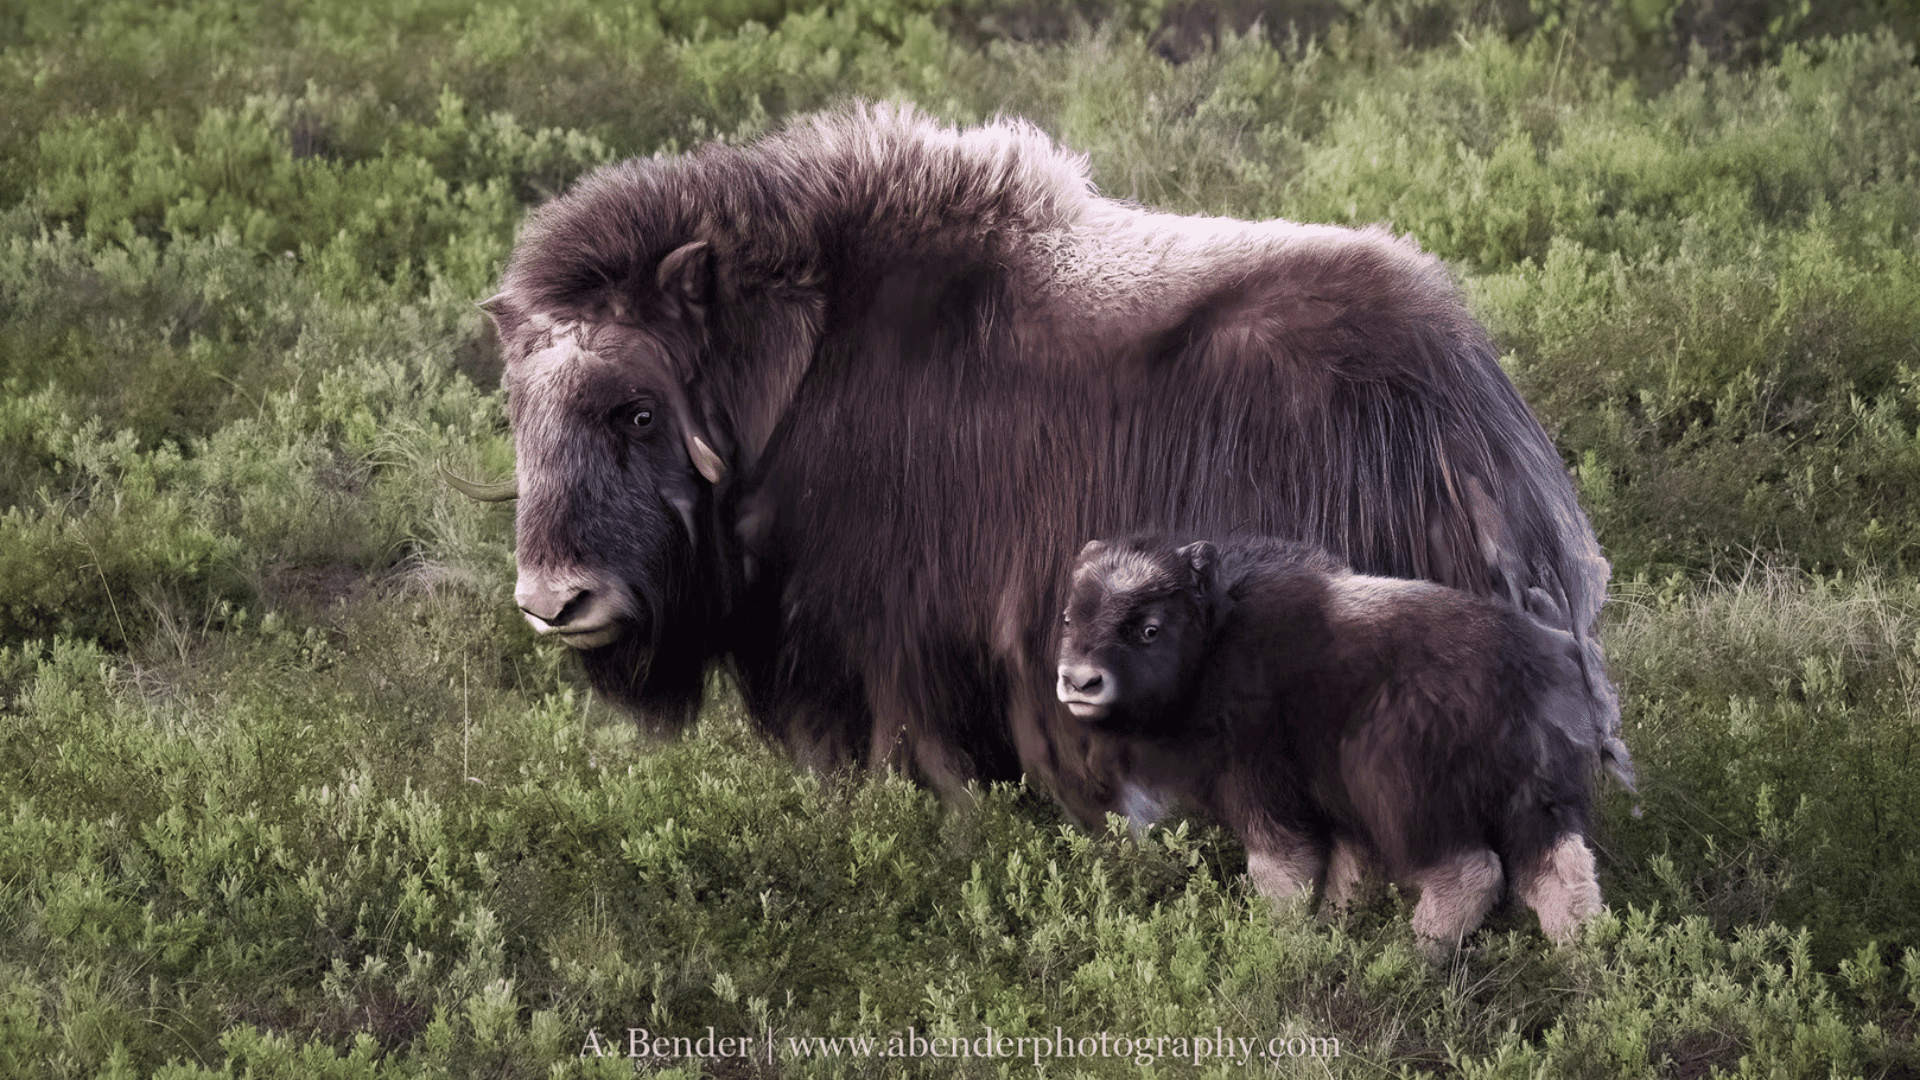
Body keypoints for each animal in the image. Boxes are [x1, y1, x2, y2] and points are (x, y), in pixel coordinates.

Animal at [472, 103, 1632, 824]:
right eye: (518, 409)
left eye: (634, 412)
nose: (553, 601)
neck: (795, 373)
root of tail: (1475, 418)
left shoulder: (894, 654)